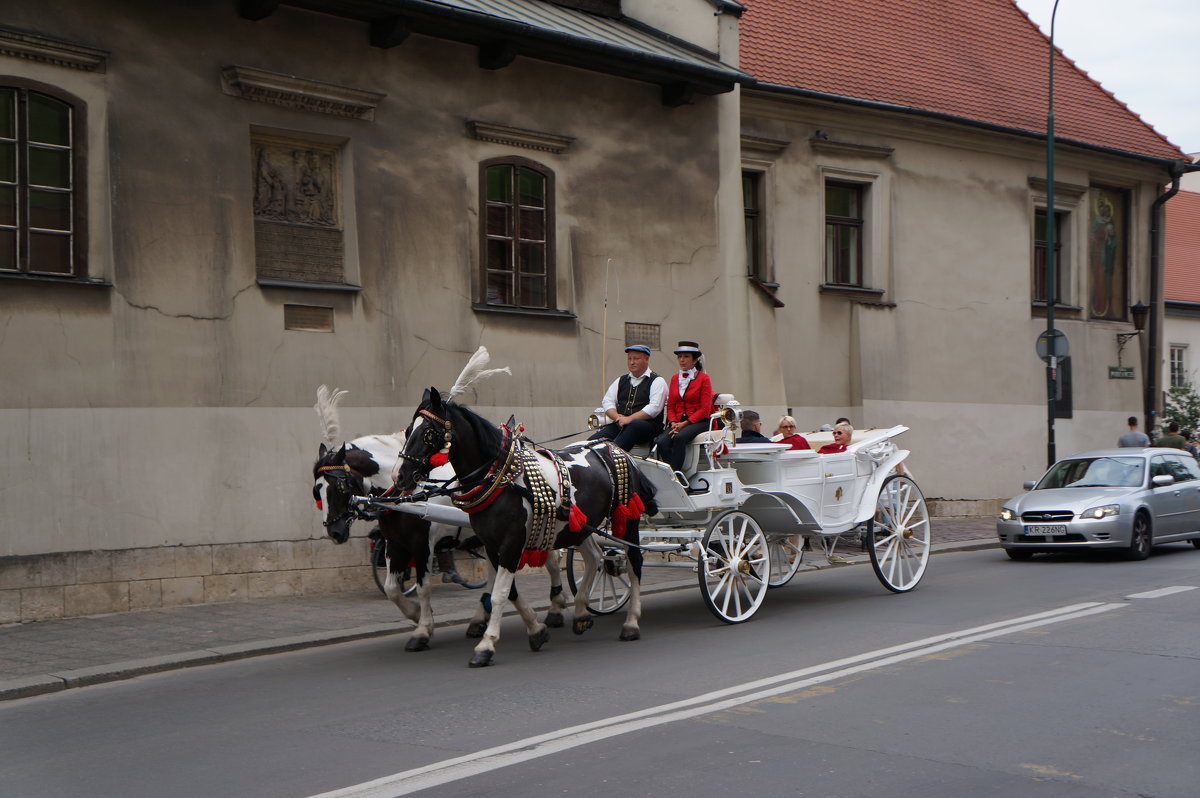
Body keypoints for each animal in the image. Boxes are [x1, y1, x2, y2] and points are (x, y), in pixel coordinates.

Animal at [393, 386, 657, 667]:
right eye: (408, 431)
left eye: (427, 433)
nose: (399, 475)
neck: (499, 477)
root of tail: (616, 449)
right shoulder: (492, 545)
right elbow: (508, 592)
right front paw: (536, 630)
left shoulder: (512, 542)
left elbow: (499, 593)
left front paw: (486, 646)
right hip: (581, 526)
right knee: (595, 557)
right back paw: (581, 613)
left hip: (627, 520)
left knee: (634, 563)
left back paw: (631, 623)